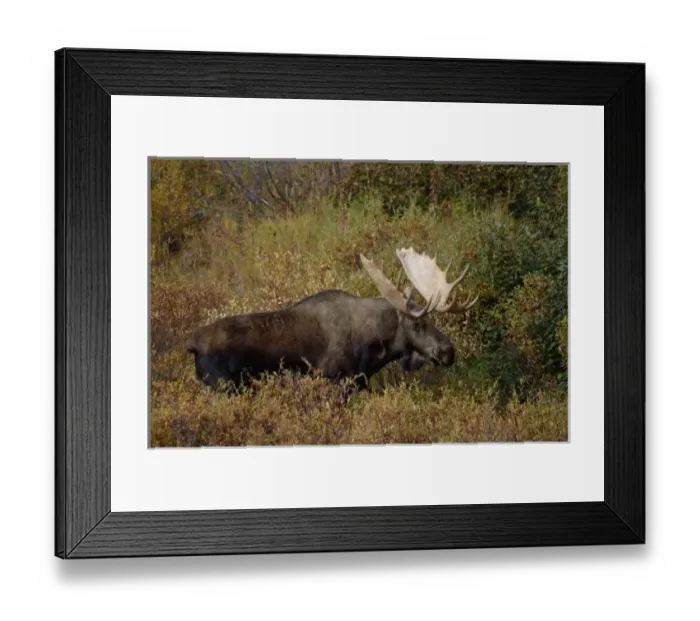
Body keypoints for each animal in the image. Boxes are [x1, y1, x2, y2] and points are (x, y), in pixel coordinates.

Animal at [186, 247, 478, 393]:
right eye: (417, 324)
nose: (448, 351)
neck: (373, 349)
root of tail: (192, 344)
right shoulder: (339, 381)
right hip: (222, 387)